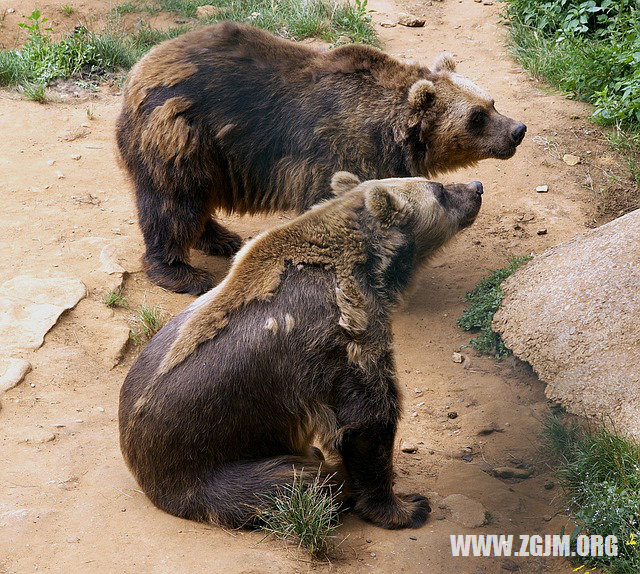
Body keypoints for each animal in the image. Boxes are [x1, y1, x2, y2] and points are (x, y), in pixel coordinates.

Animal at [116, 20, 524, 294]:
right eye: (477, 117)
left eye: (491, 101)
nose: (517, 130)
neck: (386, 131)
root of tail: (139, 70)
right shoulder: (335, 151)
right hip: (183, 136)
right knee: (174, 203)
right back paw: (183, 273)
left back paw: (223, 239)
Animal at [117, 171, 482, 532]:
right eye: (439, 189)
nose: (476, 187)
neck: (365, 269)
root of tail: (140, 470)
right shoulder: (342, 334)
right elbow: (368, 417)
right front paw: (407, 506)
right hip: (208, 466)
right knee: (305, 483)